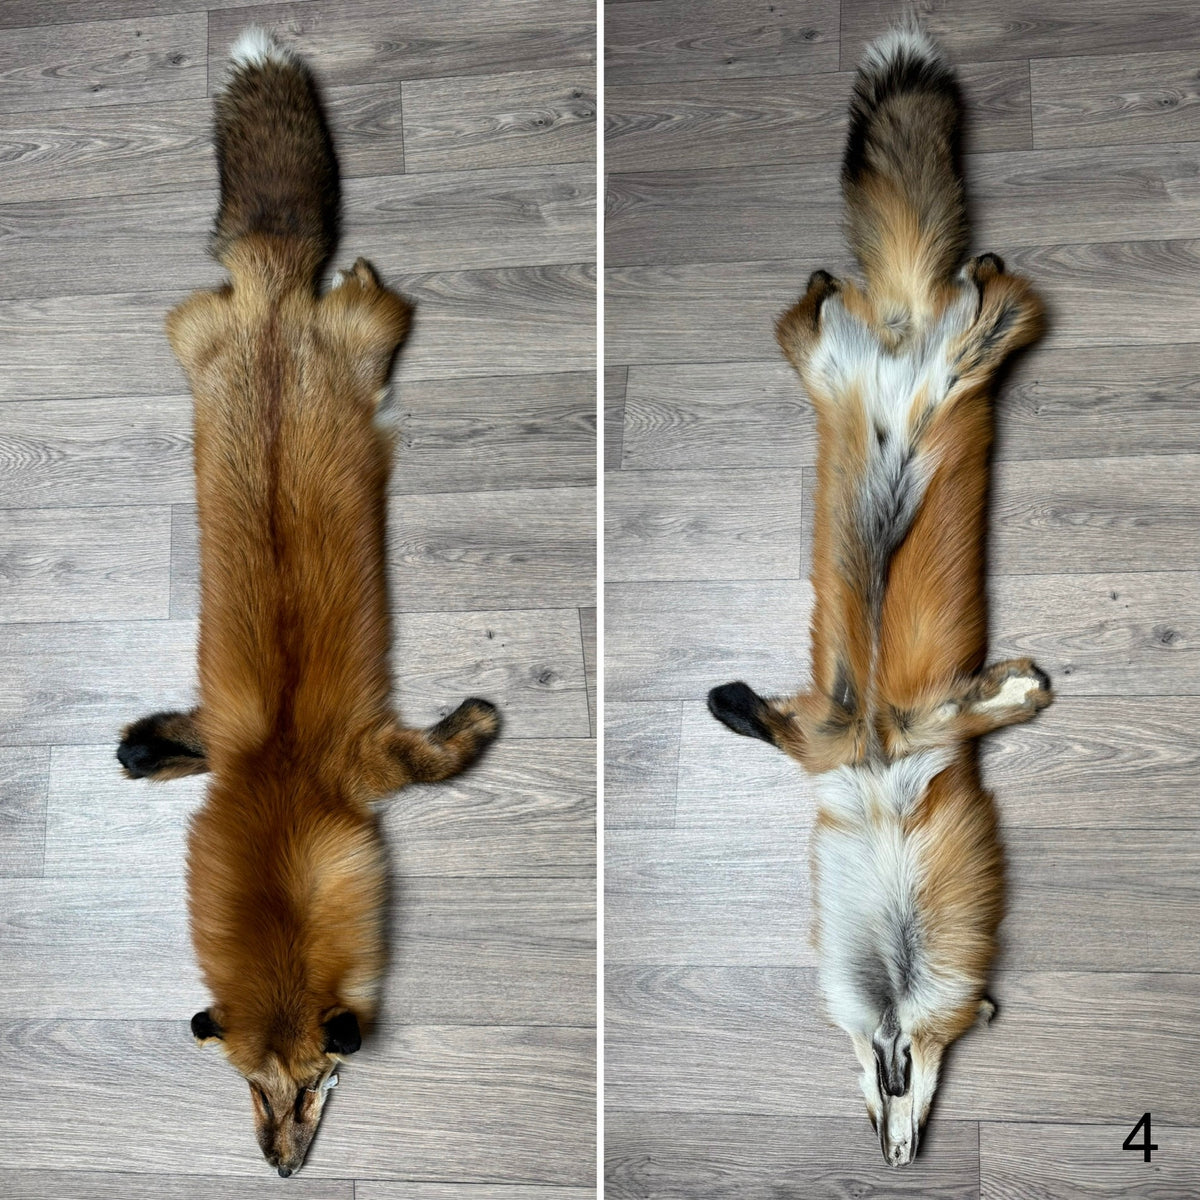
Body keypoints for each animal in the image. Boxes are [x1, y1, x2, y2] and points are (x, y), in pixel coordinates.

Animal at [115, 29, 499, 1176]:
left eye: (318, 1087)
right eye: (252, 1089)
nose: (281, 1169)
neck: (281, 787)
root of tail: (276, 299)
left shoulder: (365, 762)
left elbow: (436, 757)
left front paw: (479, 722)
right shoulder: (238, 741)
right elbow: (163, 746)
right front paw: (142, 750)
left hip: (367, 329)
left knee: (370, 289)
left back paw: (354, 270)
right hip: (194, 331)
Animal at [707, 24, 1053, 1166]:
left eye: (928, 1070)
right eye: (880, 1085)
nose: (897, 1152)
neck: (876, 787)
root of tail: (904, 330)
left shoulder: (918, 728)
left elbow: (988, 704)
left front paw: (1027, 689)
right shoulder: (835, 730)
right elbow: (764, 719)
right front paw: (724, 701)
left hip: (975, 351)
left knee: (997, 297)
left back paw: (966, 271)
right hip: (824, 359)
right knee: (820, 305)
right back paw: (860, 272)